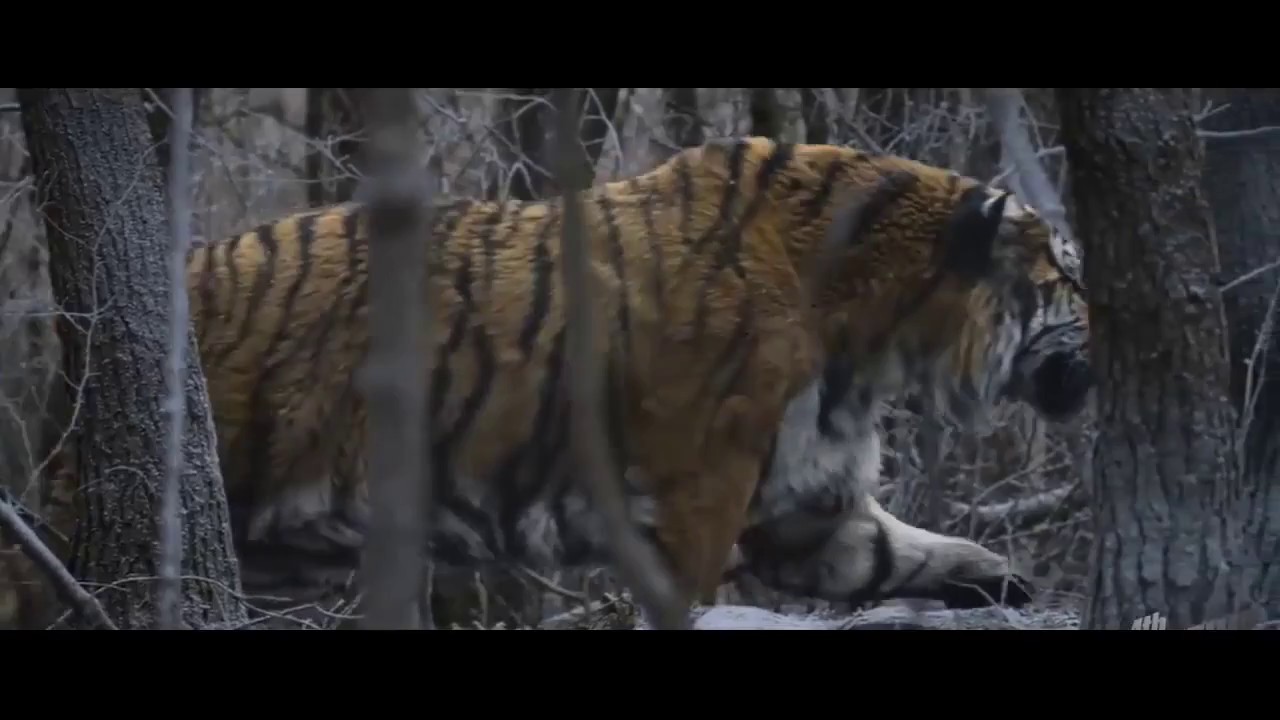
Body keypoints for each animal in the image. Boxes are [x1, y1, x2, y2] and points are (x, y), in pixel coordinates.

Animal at [186, 136, 1092, 618]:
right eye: (1073, 277)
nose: (1115, 325)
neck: (873, 345)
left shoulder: (810, 506)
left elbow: (916, 551)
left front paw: (1009, 581)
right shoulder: (698, 498)